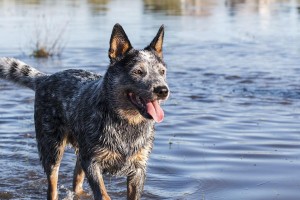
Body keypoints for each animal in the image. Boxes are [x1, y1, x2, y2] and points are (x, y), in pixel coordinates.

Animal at [0, 23, 169, 200]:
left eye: (162, 71)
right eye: (138, 71)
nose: (163, 90)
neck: (126, 123)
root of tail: (45, 78)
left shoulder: (139, 168)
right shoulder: (92, 163)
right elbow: (103, 194)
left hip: (81, 151)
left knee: (77, 179)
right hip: (52, 149)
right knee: (52, 184)